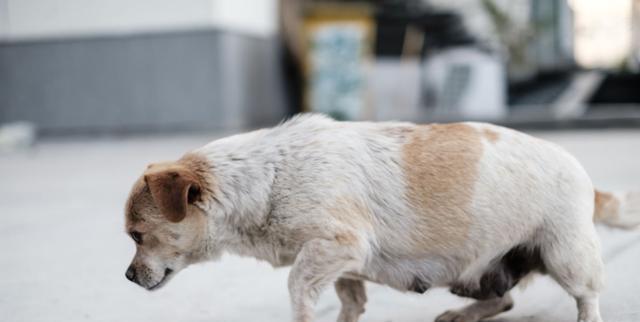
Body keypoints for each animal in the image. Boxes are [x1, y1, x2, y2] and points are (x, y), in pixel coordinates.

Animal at [125, 115, 640, 322]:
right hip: (476, 274)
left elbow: (297, 288)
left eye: (137, 235)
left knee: (586, 298)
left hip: (566, 256)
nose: (128, 277)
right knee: (504, 298)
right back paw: (463, 314)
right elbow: (349, 302)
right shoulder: (343, 265)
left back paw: (584, 316)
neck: (266, 177)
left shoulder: (335, 247)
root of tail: (588, 182)